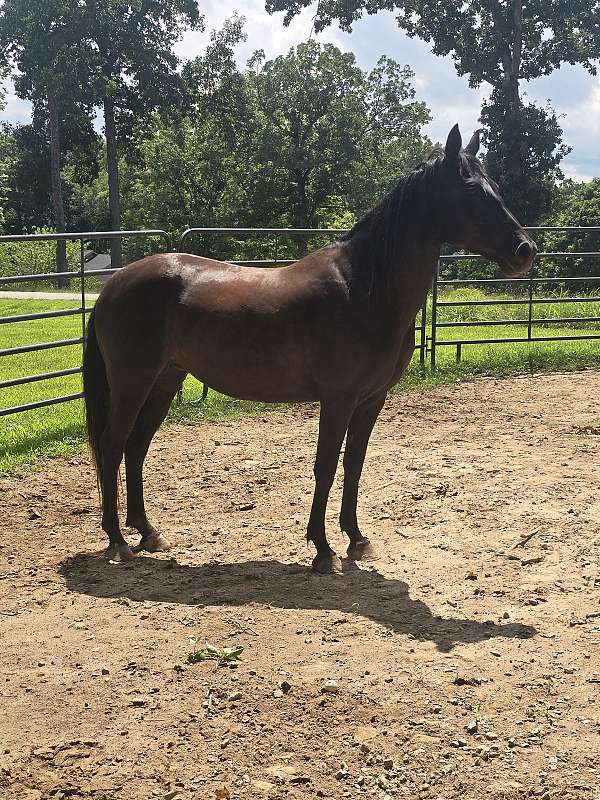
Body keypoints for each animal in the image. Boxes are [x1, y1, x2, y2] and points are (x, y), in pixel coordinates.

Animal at [83, 125, 536, 573]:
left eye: (495, 187)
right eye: (472, 190)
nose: (525, 250)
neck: (366, 288)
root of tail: (113, 285)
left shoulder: (371, 399)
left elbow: (354, 464)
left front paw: (356, 538)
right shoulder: (338, 398)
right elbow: (326, 466)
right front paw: (322, 548)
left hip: (164, 381)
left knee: (136, 447)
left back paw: (147, 532)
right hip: (132, 383)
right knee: (113, 445)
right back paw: (118, 541)